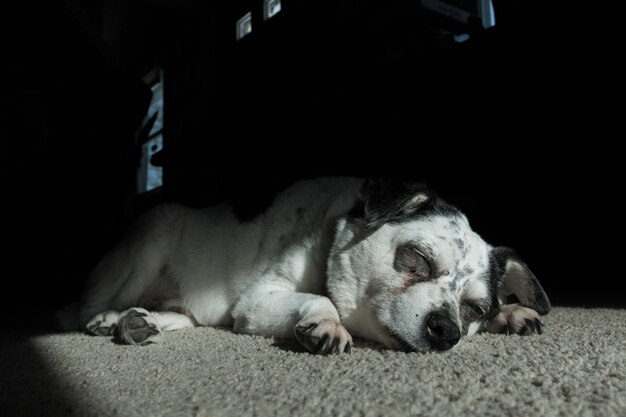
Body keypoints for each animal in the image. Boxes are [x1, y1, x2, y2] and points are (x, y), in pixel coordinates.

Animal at [75, 177, 548, 352]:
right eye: (417, 259)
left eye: (474, 309)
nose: (447, 330)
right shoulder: (258, 300)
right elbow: (324, 300)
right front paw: (327, 322)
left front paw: (510, 312)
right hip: (152, 233)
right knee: (78, 309)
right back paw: (107, 318)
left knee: (180, 315)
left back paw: (141, 322)